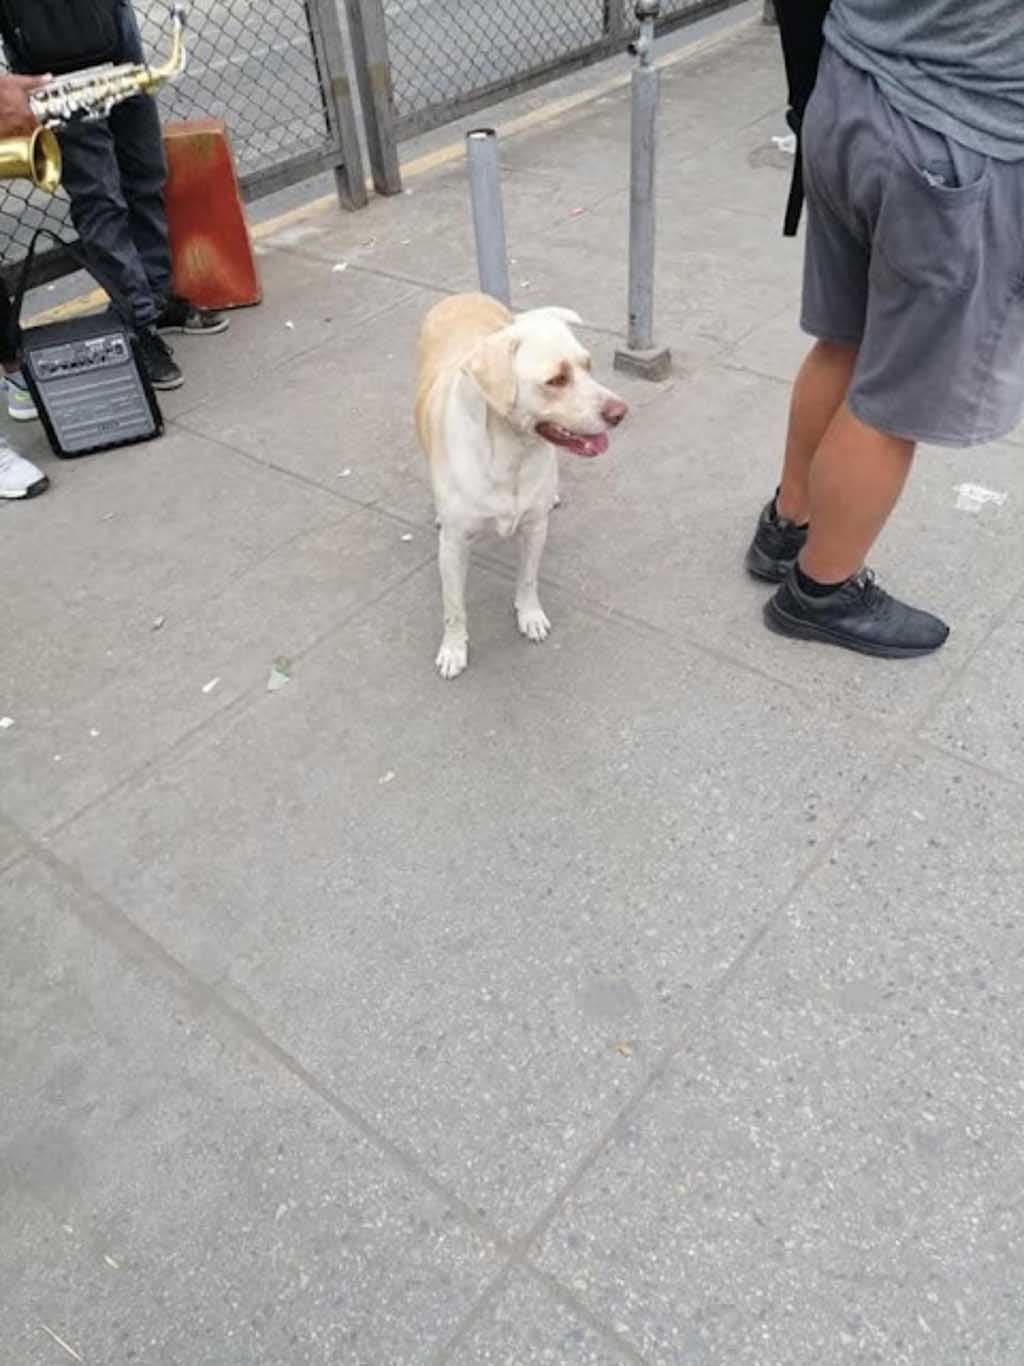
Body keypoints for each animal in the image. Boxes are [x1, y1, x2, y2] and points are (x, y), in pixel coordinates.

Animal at [415, 299, 625, 683]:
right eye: (556, 379)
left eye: (588, 366)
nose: (621, 412)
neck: (511, 452)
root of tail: (463, 296)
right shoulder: (452, 547)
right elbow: (454, 606)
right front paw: (453, 648)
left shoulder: (535, 527)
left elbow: (528, 579)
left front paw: (529, 615)